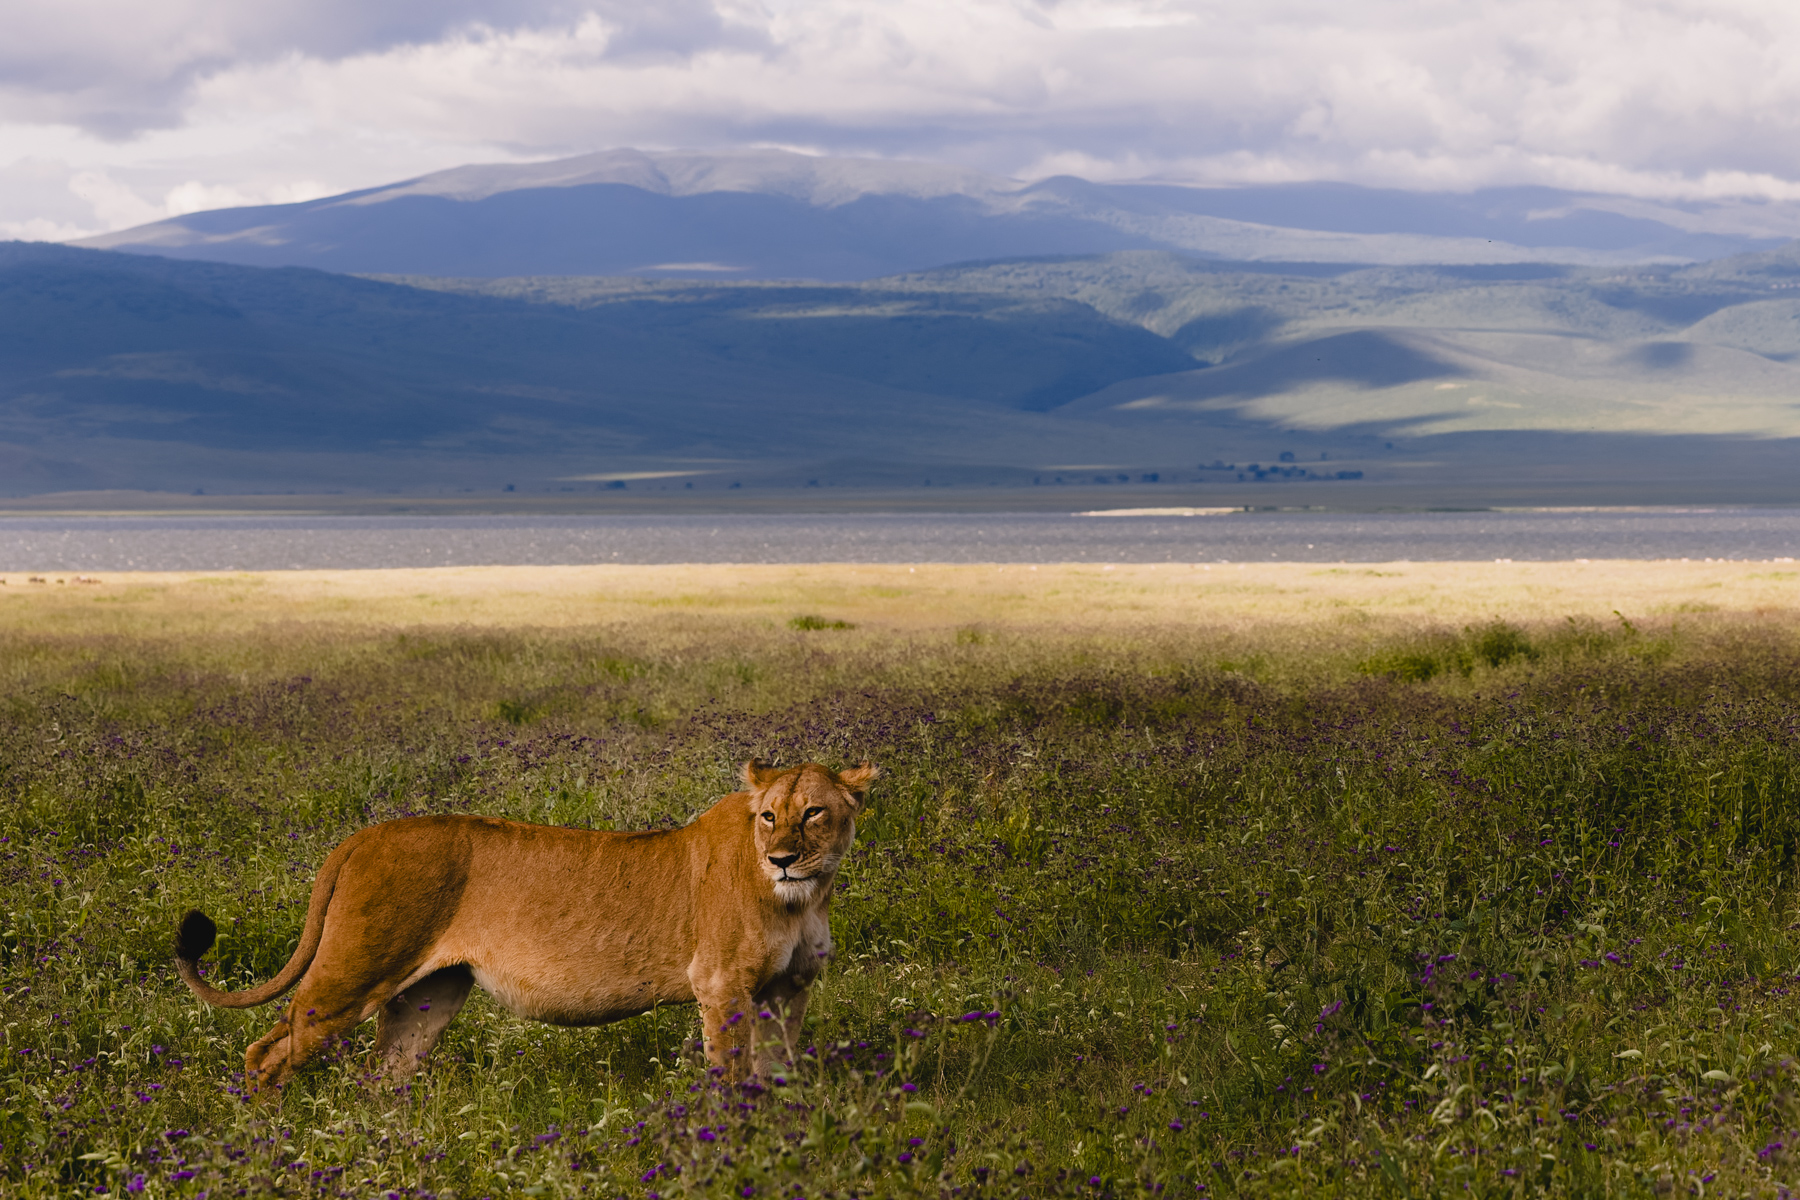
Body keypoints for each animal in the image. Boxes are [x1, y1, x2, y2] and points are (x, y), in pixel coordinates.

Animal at [173, 760, 877, 1094]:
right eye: (768, 816)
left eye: (814, 813)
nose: (781, 858)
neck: (802, 897)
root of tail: (365, 835)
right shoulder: (721, 985)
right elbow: (730, 1077)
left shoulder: (789, 990)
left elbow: (776, 1073)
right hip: (356, 968)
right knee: (266, 1052)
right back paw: (267, 1145)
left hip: (430, 993)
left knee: (384, 1073)